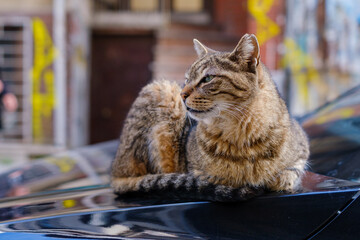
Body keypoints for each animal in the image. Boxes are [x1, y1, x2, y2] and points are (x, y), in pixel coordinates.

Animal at [110, 33, 310, 201]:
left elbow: (289, 174)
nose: (182, 94)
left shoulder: (302, 151)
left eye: (207, 79)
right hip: (162, 91)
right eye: (186, 79)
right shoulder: (195, 171)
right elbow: (209, 179)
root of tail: (116, 171)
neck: (241, 132)